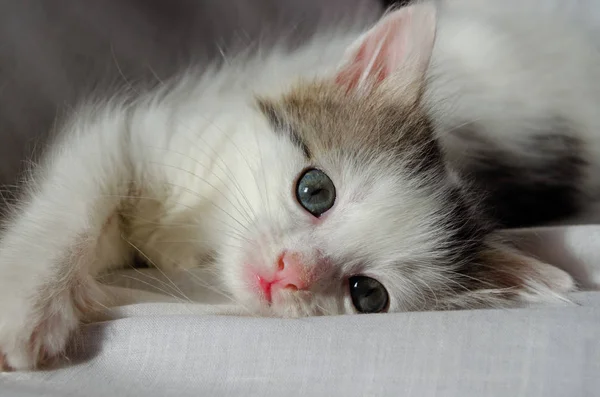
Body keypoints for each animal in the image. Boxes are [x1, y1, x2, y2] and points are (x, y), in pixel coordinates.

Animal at [1, 0, 592, 370]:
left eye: (367, 294)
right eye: (315, 191)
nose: (290, 273)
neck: (209, 237)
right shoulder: (149, 135)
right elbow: (76, 201)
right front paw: (24, 306)